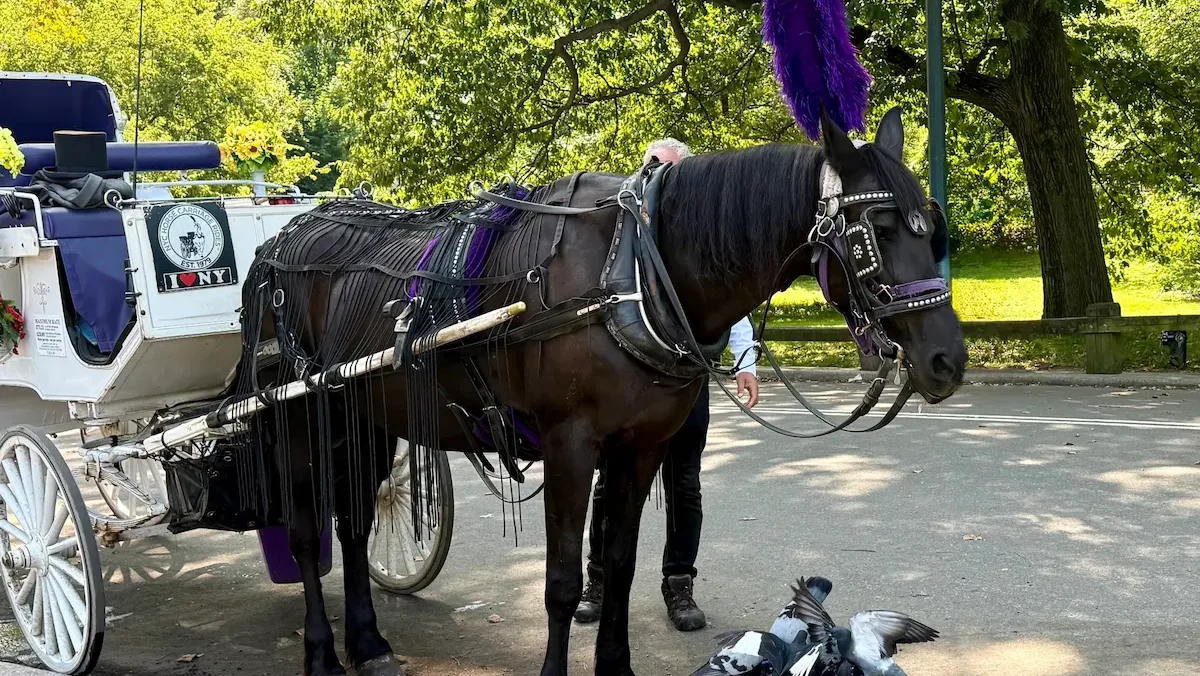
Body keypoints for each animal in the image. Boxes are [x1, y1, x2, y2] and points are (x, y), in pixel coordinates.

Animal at [226, 107, 966, 676]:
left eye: (935, 229)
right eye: (880, 231)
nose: (948, 361)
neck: (635, 271)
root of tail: (283, 239)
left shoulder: (639, 448)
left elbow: (619, 564)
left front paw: (616, 663)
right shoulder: (570, 444)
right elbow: (561, 582)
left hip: (369, 417)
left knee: (353, 526)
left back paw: (370, 642)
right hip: (301, 417)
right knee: (306, 535)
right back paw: (322, 652)